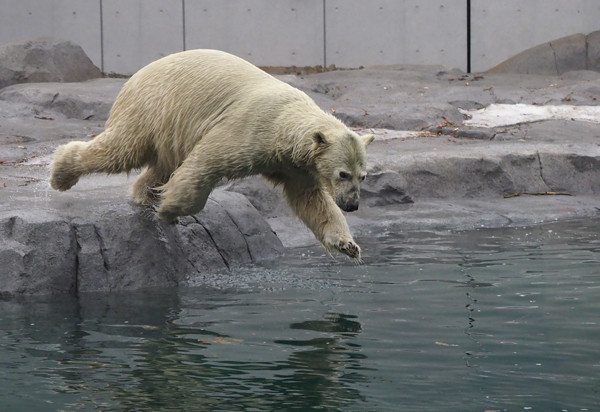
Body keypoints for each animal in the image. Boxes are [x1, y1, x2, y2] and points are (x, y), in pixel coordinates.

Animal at [49, 50, 372, 260]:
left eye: (363, 176)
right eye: (343, 174)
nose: (352, 204)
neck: (285, 122)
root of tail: (137, 74)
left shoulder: (295, 166)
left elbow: (312, 202)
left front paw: (348, 245)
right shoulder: (251, 128)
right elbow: (206, 162)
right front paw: (170, 210)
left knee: (162, 165)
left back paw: (145, 194)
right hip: (152, 107)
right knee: (122, 149)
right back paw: (60, 175)